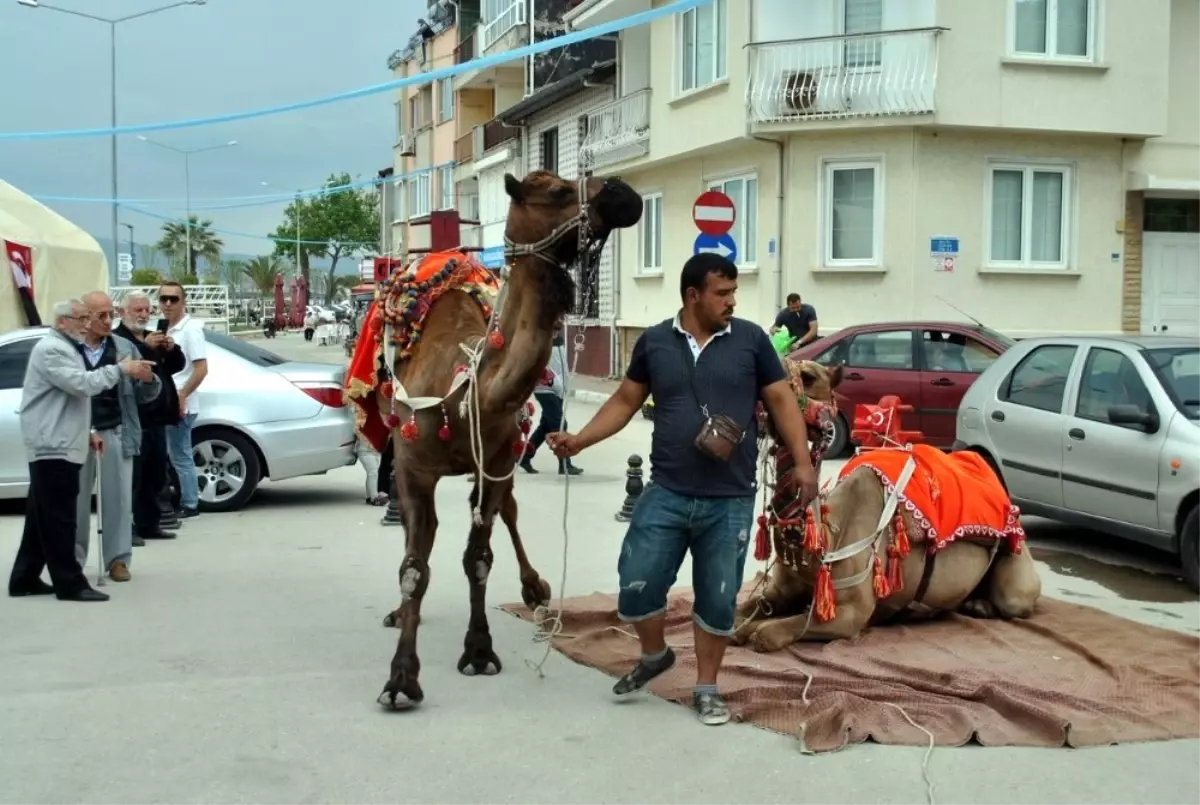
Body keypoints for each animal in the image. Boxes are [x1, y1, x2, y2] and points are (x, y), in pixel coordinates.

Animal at [374, 171, 643, 710]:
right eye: (558, 191)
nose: (623, 191)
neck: (467, 391)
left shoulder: (496, 462)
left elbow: (478, 558)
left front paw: (479, 651)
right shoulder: (416, 467)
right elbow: (414, 567)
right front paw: (400, 678)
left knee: (510, 513)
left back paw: (536, 588)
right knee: (420, 534)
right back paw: (401, 612)